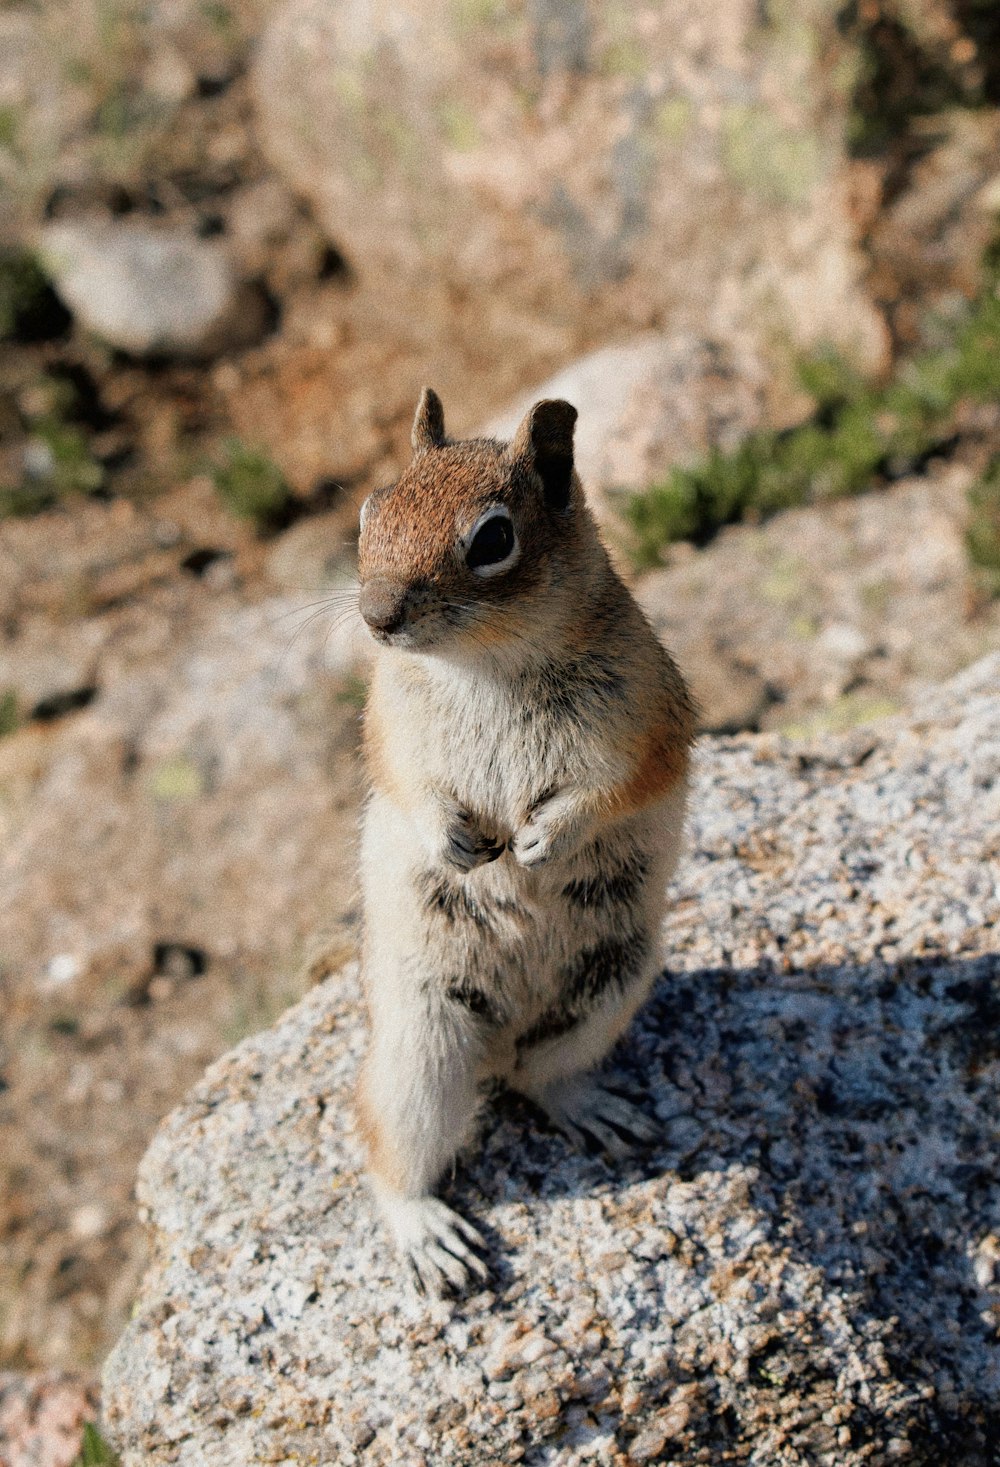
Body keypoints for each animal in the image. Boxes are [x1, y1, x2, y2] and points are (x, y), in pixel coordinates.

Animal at [354, 384, 689, 1290]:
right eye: (371, 510)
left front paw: (543, 840)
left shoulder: (645, 720)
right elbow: (409, 785)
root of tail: (496, 1050)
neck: (486, 662)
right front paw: (457, 841)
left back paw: (594, 1108)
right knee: (388, 1152)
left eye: (493, 539)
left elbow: (614, 789)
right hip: (420, 1051)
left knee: (546, 1077)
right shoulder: (388, 726)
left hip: (608, 989)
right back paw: (430, 1234)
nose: (375, 617)